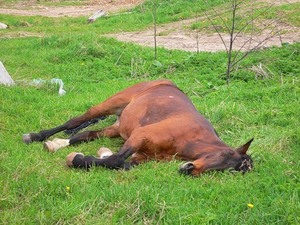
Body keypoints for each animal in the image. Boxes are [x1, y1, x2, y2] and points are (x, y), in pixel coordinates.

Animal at [22, 79, 253, 176]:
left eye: (231, 171)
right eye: (224, 155)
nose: (189, 170)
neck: (188, 138)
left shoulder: (141, 156)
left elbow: (120, 163)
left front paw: (81, 157)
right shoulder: (140, 136)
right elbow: (115, 160)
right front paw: (78, 160)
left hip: (116, 128)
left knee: (84, 134)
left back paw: (57, 144)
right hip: (110, 104)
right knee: (75, 121)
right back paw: (36, 136)